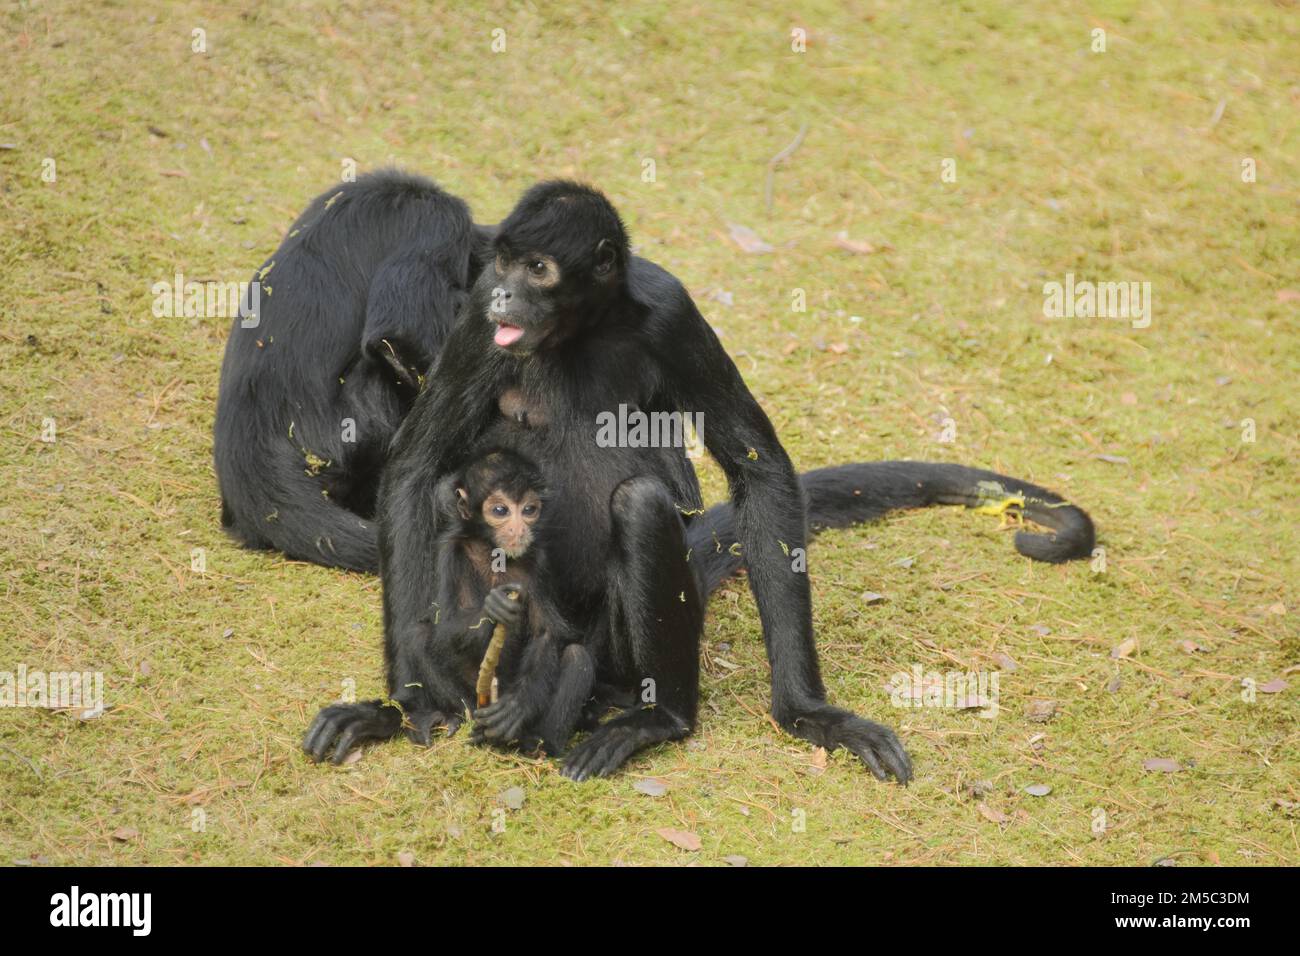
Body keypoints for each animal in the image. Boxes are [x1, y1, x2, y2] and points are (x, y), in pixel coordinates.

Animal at [304, 180, 1097, 785]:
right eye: (499, 264)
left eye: (536, 267)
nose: (502, 297)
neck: (579, 333)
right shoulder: (474, 324)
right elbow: (414, 468)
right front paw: (407, 706)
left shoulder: (671, 309)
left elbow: (758, 467)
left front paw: (810, 714)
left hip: (607, 653)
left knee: (640, 504)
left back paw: (659, 717)